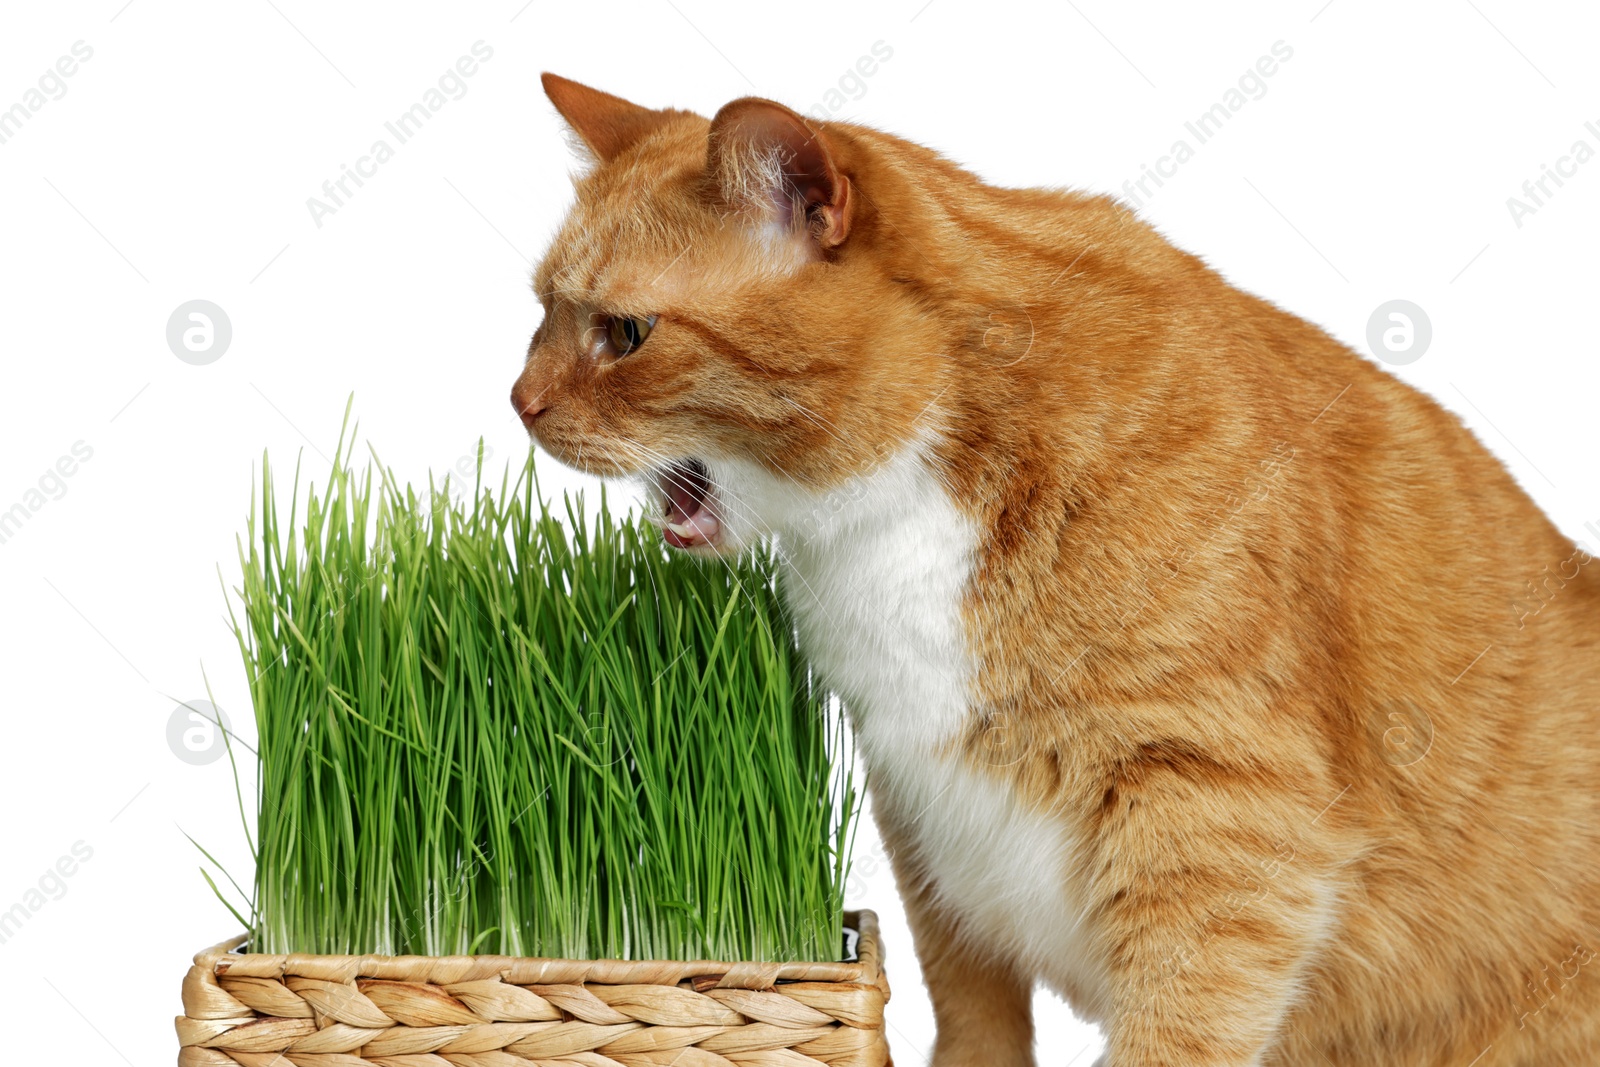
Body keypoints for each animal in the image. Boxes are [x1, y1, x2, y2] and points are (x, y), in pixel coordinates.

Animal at [512, 70, 1600, 1062]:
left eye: (627, 333)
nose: (519, 403)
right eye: (540, 311)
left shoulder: (1221, 832)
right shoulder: (926, 816)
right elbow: (972, 1004)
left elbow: (1175, 1032)